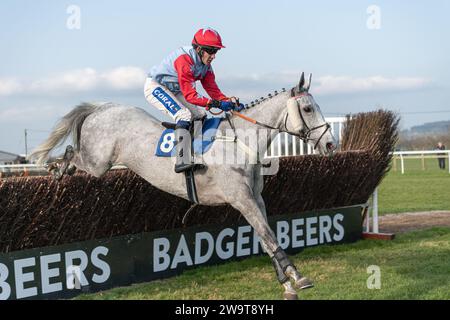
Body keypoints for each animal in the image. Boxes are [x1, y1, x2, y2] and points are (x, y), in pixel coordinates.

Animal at [29, 72, 336, 300]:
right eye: (308, 108)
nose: (331, 144)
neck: (241, 142)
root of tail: (103, 107)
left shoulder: (255, 199)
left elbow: (266, 238)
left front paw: (286, 284)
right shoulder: (241, 199)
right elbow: (269, 237)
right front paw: (298, 277)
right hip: (98, 163)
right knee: (72, 152)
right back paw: (56, 168)